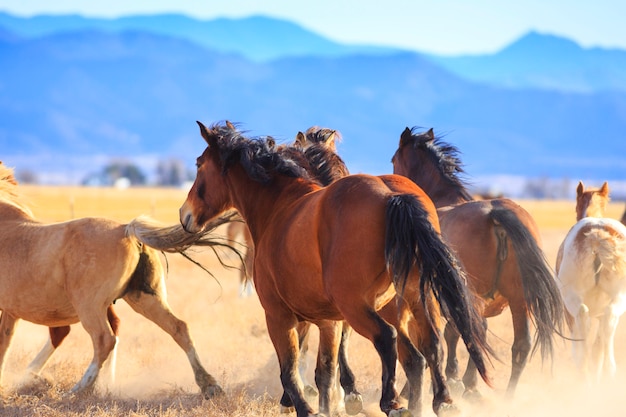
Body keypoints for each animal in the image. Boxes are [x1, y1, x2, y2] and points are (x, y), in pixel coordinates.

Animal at [0, 161, 233, 394]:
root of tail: (127, 230)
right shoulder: (11, 311)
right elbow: (5, 341)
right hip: (144, 298)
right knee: (179, 328)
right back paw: (209, 385)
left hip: (90, 306)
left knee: (104, 339)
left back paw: (80, 388)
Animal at [178, 120, 490, 416]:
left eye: (198, 164)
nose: (185, 214)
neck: (279, 206)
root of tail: (392, 196)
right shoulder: (328, 321)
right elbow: (325, 371)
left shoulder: (279, 315)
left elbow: (291, 370)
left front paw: (304, 407)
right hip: (414, 298)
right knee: (428, 346)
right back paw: (441, 402)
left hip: (358, 306)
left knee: (389, 339)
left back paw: (393, 403)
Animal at [390, 126, 560, 396]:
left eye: (394, 160)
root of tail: (495, 214)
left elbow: (443, 337)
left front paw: (446, 378)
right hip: (518, 297)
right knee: (519, 346)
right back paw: (505, 395)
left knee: (475, 330)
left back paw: (469, 385)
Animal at [556, 181, 624, 380]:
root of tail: (597, 235)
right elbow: (598, 346)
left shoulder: (567, 312)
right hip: (618, 299)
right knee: (608, 321)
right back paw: (607, 373)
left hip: (574, 301)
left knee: (583, 320)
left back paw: (584, 371)